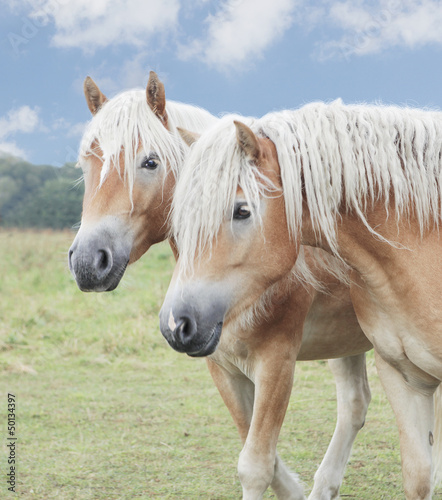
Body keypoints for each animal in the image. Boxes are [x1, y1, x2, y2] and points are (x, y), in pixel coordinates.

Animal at [69, 75, 372, 500]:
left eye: (150, 162)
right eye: (86, 161)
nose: (86, 261)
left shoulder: (277, 361)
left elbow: (257, 464)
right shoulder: (222, 364)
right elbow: (261, 454)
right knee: (354, 405)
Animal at [161, 102, 442, 500]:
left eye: (242, 210)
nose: (175, 324)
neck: (422, 242)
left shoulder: (276, 358)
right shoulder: (406, 378)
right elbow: (417, 477)